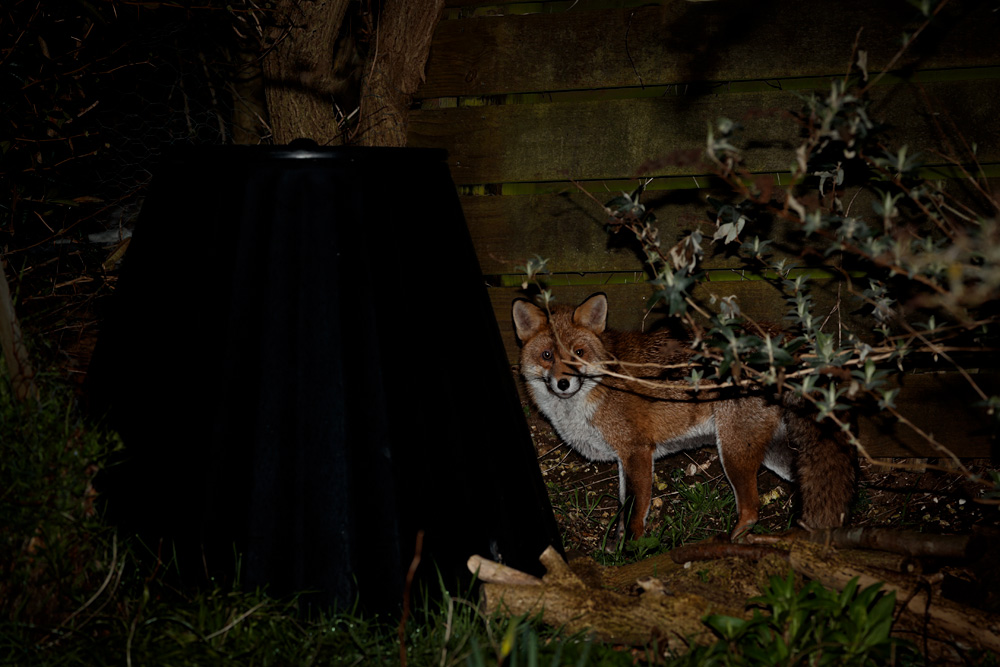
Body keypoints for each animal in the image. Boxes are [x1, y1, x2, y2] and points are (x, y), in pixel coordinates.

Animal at [512, 292, 856, 543]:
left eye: (578, 353)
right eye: (547, 356)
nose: (563, 383)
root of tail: (776, 338)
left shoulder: (637, 451)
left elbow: (636, 511)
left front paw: (631, 551)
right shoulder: (624, 457)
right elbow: (624, 507)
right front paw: (617, 545)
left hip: (734, 452)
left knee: (751, 510)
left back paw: (731, 543)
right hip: (772, 451)